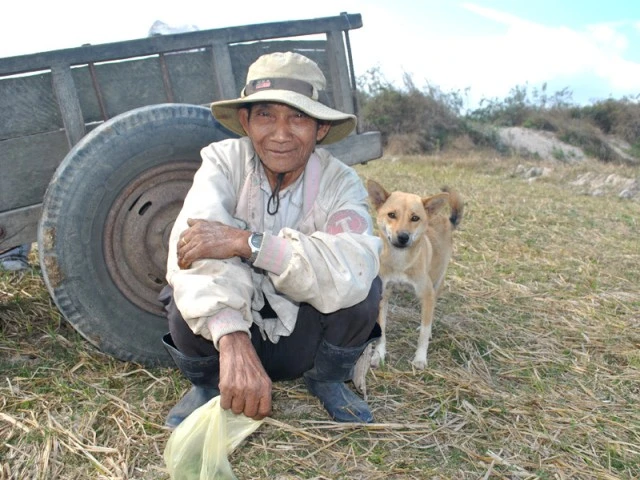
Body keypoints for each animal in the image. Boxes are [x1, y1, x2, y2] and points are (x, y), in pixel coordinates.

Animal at [368, 178, 462, 370]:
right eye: (391, 215)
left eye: (415, 218)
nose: (403, 237)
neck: (400, 262)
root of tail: (445, 218)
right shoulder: (383, 295)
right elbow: (381, 332)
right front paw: (378, 355)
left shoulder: (427, 294)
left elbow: (424, 333)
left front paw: (420, 358)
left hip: (437, 282)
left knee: (430, 315)